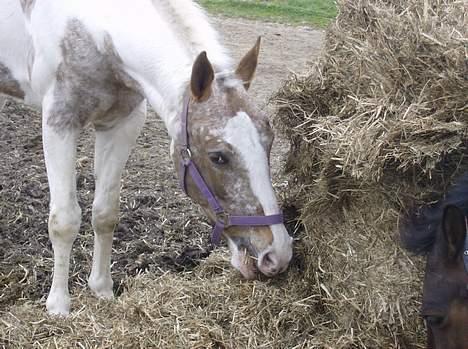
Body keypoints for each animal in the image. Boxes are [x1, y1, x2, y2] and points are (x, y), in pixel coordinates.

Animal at [0, 0, 292, 316]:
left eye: (269, 142)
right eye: (218, 157)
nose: (276, 255)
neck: (94, 29)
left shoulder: (123, 124)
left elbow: (105, 214)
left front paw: (102, 289)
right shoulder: (59, 122)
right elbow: (64, 220)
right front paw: (59, 306)